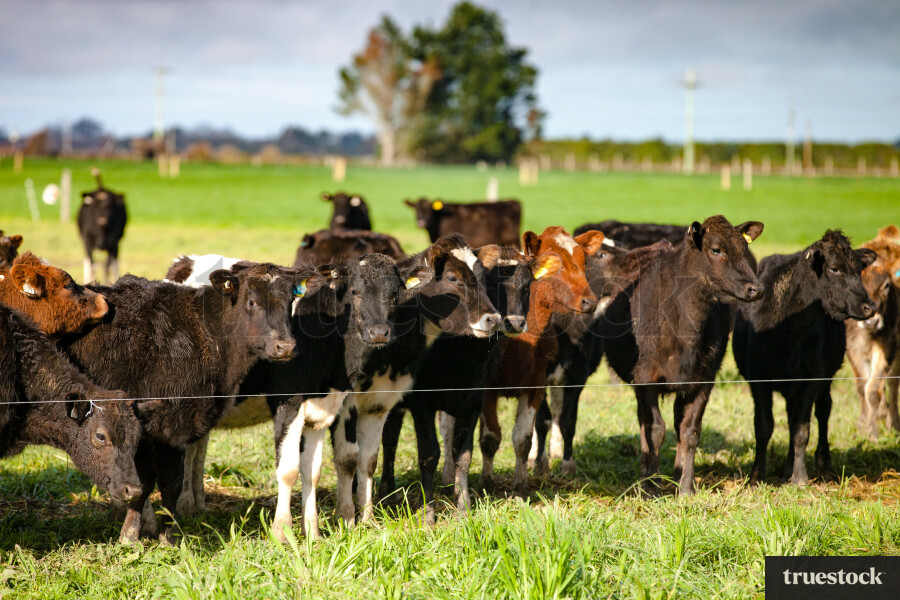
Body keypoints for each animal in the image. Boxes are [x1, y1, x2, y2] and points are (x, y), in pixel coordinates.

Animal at [57, 264, 304, 544]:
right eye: (253, 301)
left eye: (291, 301)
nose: (285, 346)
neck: (206, 333)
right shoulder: (163, 425)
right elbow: (154, 482)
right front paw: (141, 534)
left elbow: (166, 482)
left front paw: (162, 530)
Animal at [378, 244, 533, 523]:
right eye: (452, 279)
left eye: (527, 285)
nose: (500, 320)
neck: (457, 356)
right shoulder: (421, 404)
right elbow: (429, 454)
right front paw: (428, 513)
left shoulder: (473, 402)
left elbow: (463, 455)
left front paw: (464, 508)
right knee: (389, 439)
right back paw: (386, 493)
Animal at [479, 227, 606, 498]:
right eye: (556, 264)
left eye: (583, 261)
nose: (589, 302)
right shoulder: (486, 390)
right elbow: (490, 438)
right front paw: (486, 485)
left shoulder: (537, 384)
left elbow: (524, 437)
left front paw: (521, 487)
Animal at [598, 216, 764, 495]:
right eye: (716, 249)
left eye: (744, 248)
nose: (756, 289)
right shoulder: (646, 378)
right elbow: (655, 430)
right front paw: (652, 487)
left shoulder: (704, 380)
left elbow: (690, 431)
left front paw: (686, 486)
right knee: (645, 423)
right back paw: (645, 476)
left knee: (676, 422)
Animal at [733, 230, 876, 486]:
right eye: (834, 268)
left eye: (859, 268)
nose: (869, 306)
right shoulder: (758, 380)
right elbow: (763, 427)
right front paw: (757, 474)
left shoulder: (811, 379)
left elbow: (801, 431)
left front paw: (800, 477)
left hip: (826, 377)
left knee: (822, 411)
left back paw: (817, 462)